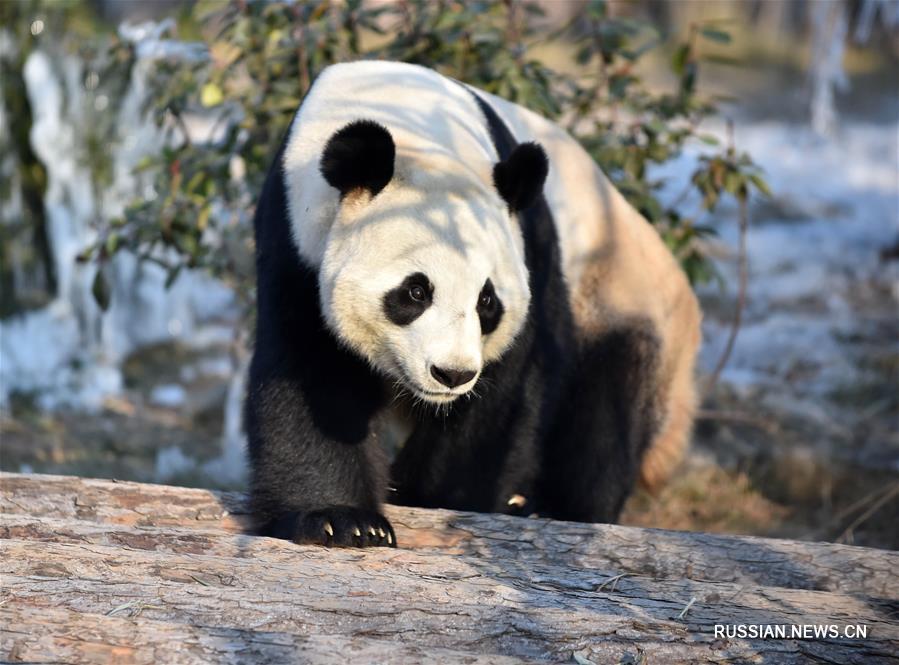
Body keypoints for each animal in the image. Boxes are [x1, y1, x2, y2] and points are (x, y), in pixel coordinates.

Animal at [246, 59, 704, 544]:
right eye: (415, 291)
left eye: (487, 301)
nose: (452, 374)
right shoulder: (295, 239)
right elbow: (312, 373)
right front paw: (342, 521)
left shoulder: (530, 249)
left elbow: (507, 395)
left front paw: (441, 499)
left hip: (617, 298)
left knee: (603, 422)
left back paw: (549, 509)